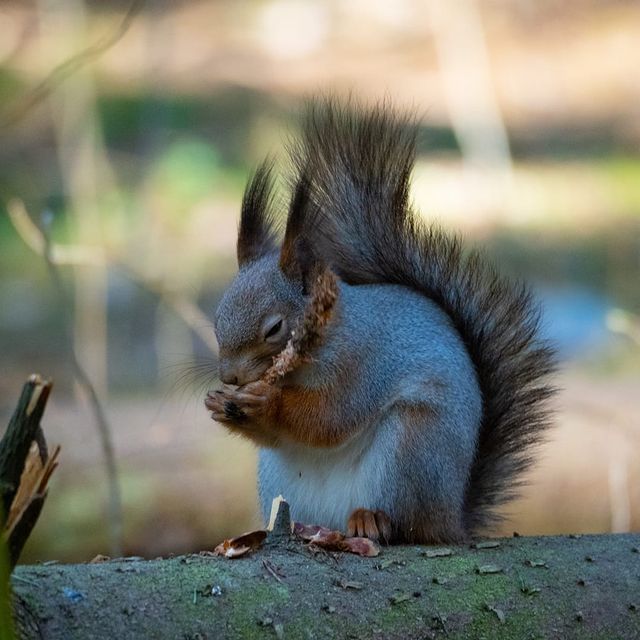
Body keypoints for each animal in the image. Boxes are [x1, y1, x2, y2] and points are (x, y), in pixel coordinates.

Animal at [205, 99, 556, 544]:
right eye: (217, 319)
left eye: (274, 329)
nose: (230, 377)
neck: (328, 337)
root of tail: (452, 519)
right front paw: (219, 403)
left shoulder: (363, 364)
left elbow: (329, 417)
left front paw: (267, 402)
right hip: (281, 479)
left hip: (412, 447)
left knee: (408, 522)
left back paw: (373, 519)